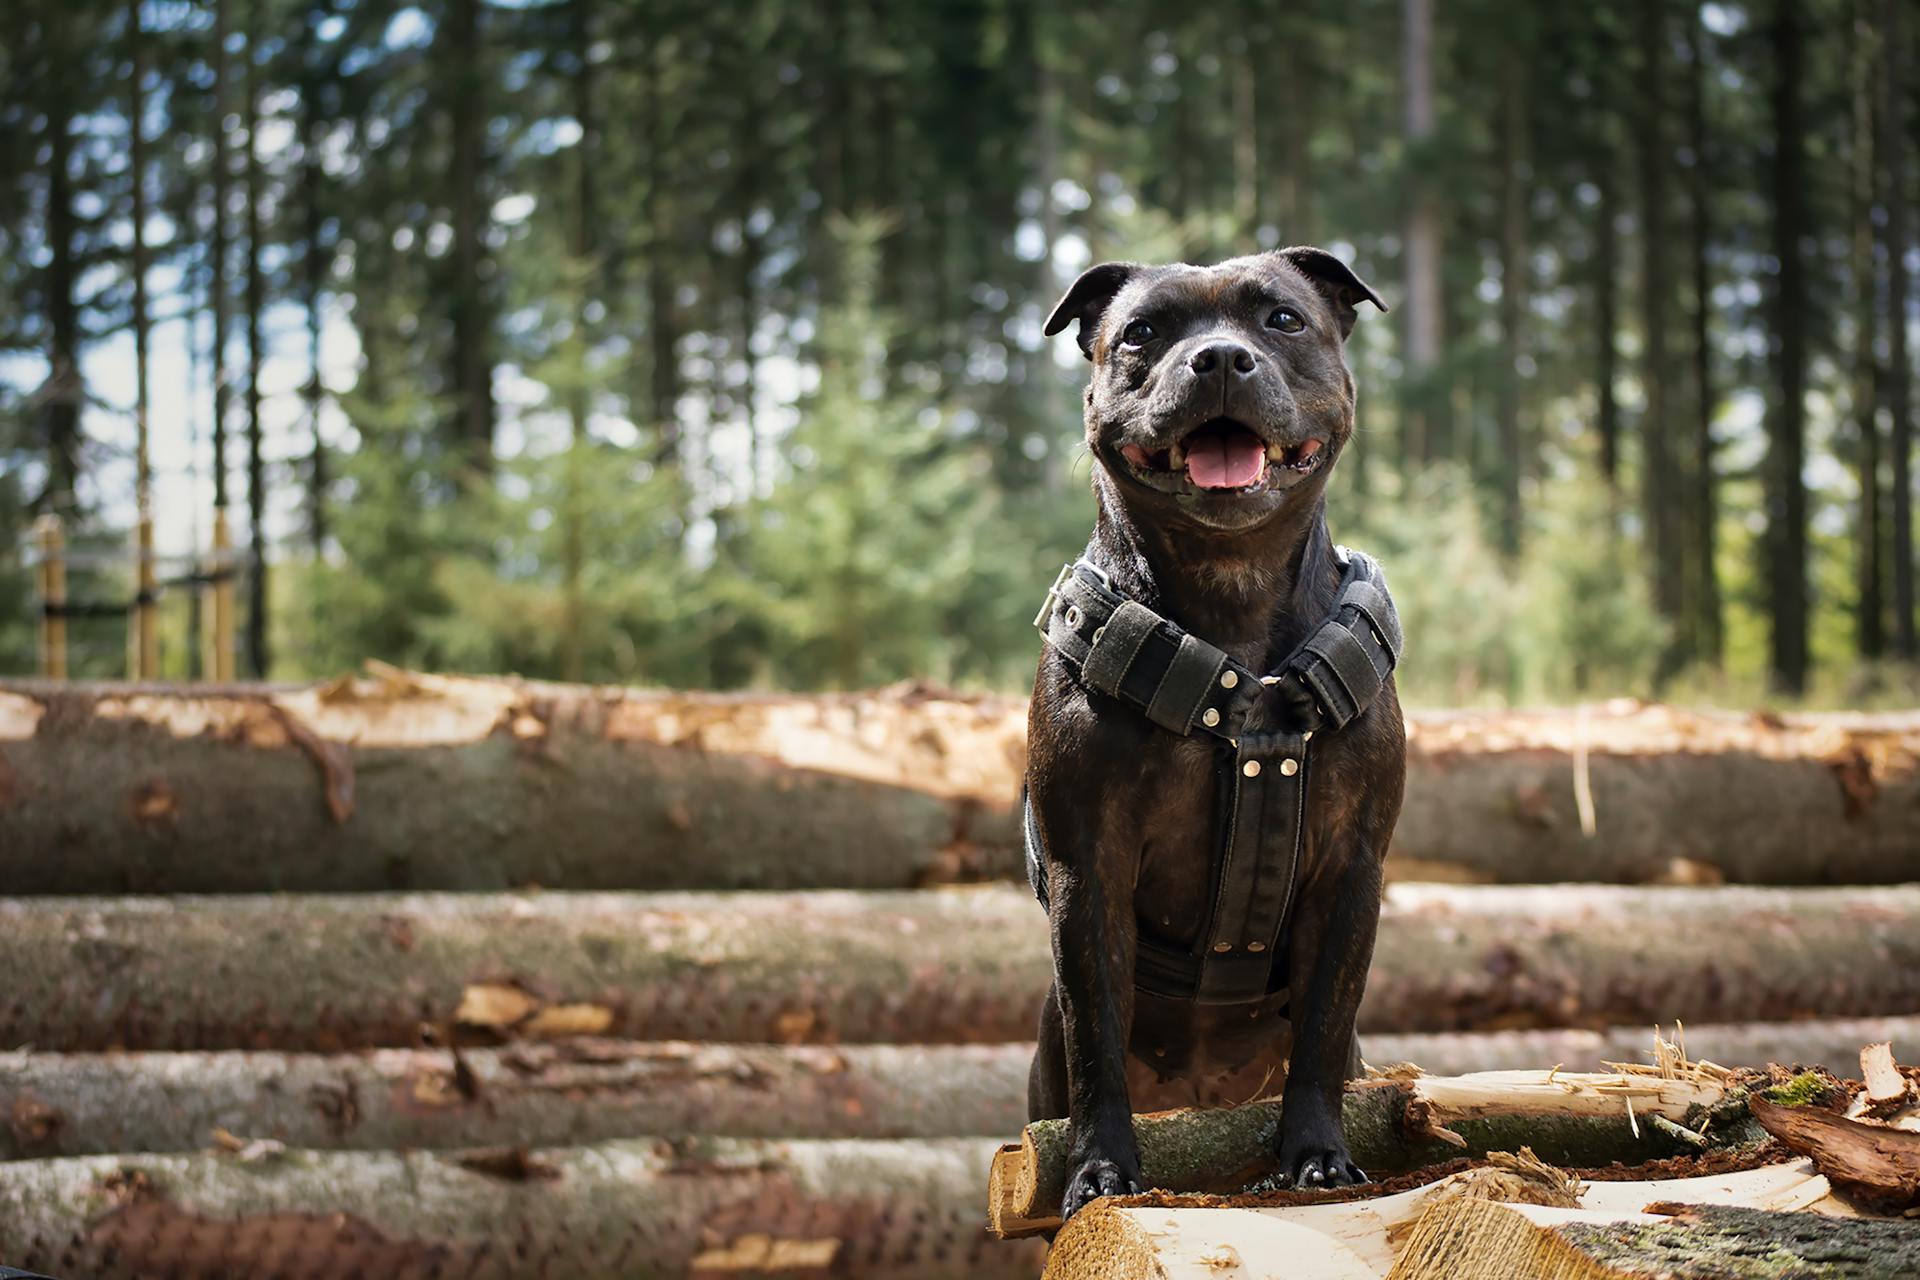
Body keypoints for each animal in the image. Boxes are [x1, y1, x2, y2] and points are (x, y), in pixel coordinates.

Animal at [1021, 247, 1413, 1220]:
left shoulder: (1352, 870)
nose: (1221, 359)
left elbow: (1321, 1029)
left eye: (1283, 319)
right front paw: (1101, 1173)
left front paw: (1317, 1155)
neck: (1231, 588)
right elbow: (1096, 1037)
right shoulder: (1090, 870)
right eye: (1141, 333)